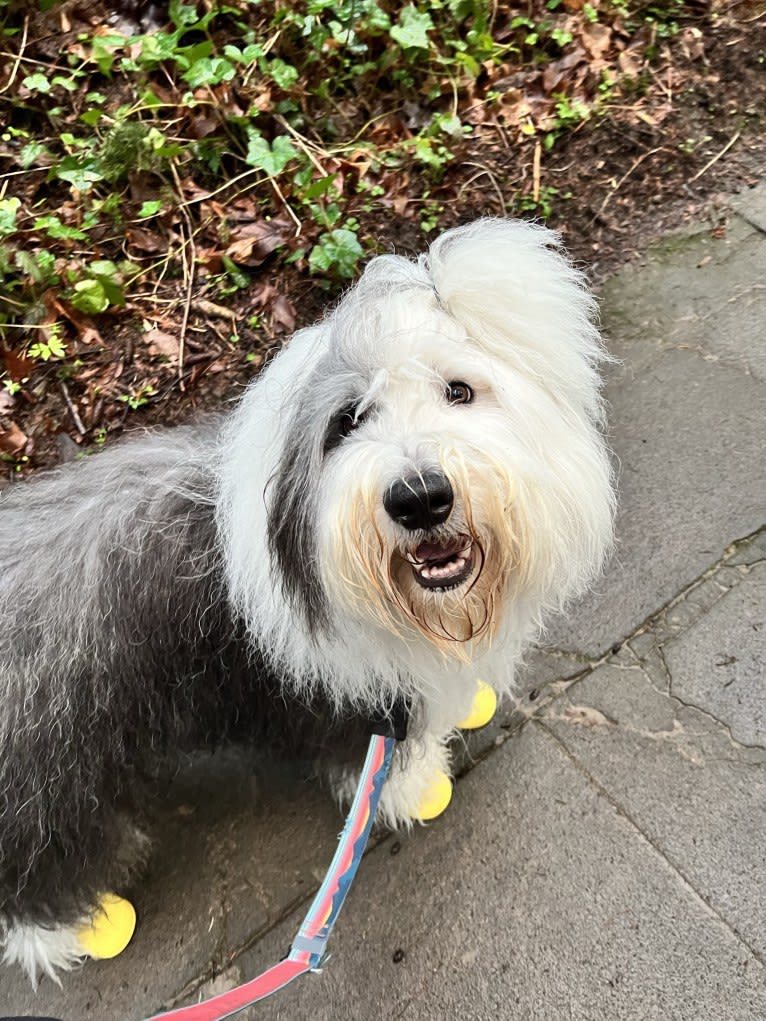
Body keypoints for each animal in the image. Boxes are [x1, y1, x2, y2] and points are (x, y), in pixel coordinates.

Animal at [0, 219, 616, 984]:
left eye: (459, 390)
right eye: (347, 421)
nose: (419, 497)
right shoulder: (350, 698)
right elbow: (374, 761)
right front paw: (411, 790)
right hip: (46, 767)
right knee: (37, 859)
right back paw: (69, 932)